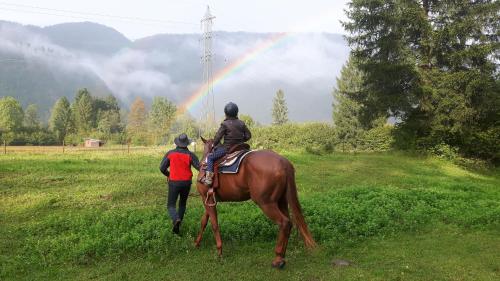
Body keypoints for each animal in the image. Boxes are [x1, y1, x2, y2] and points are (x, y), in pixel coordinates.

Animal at [193, 138, 314, 266]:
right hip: (281, 201)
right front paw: (197, 243)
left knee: (284, 223)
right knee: (289, 223)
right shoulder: (210, 200)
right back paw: (282, 256)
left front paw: (219, 251)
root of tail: (284, 162)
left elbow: (214, 224)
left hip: (266, 203)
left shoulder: (205, 199)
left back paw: (278, 258)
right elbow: (204, 221)